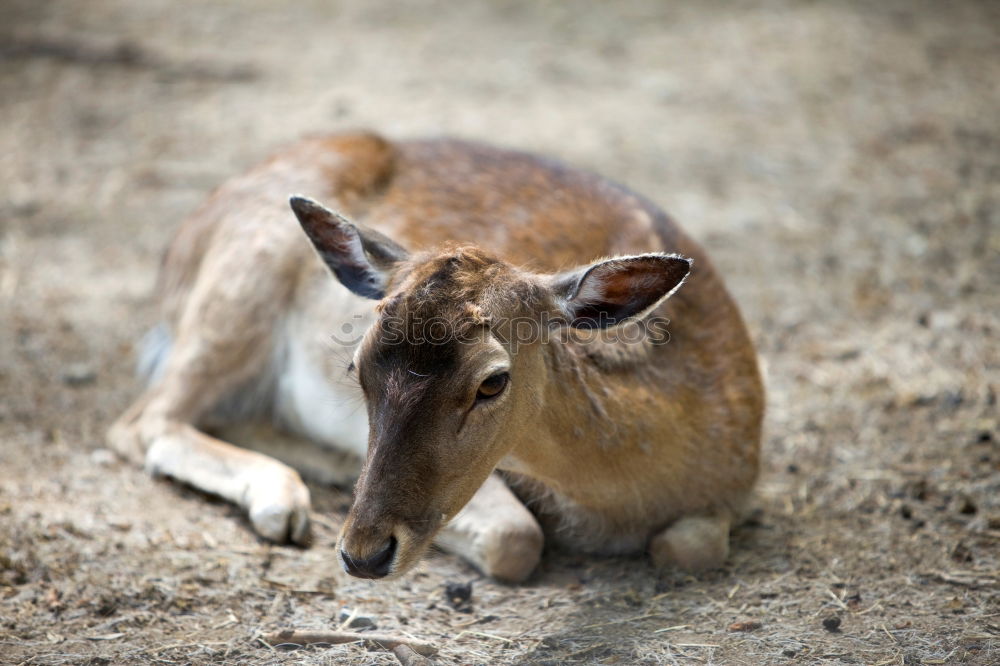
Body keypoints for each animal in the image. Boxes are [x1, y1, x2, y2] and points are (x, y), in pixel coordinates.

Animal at [109, 131, 760, 580]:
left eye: (493, 381)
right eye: (356, 366)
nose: (363, 553)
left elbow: (689, 547)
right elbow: (514, 539)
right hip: (240, 277)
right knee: (144, 420)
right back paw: (282, 497)